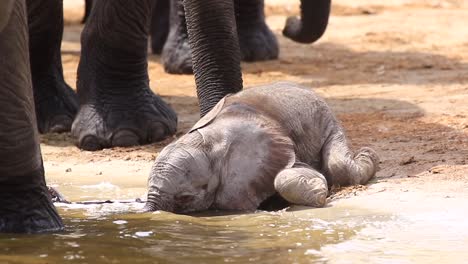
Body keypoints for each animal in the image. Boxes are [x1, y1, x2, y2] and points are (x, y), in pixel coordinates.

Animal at [144, 81, 378, 213]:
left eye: (185, 198)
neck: (208, 143)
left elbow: (286, 175)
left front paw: (320, 192)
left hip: (326, 120)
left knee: (338, 166)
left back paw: (369, 155)